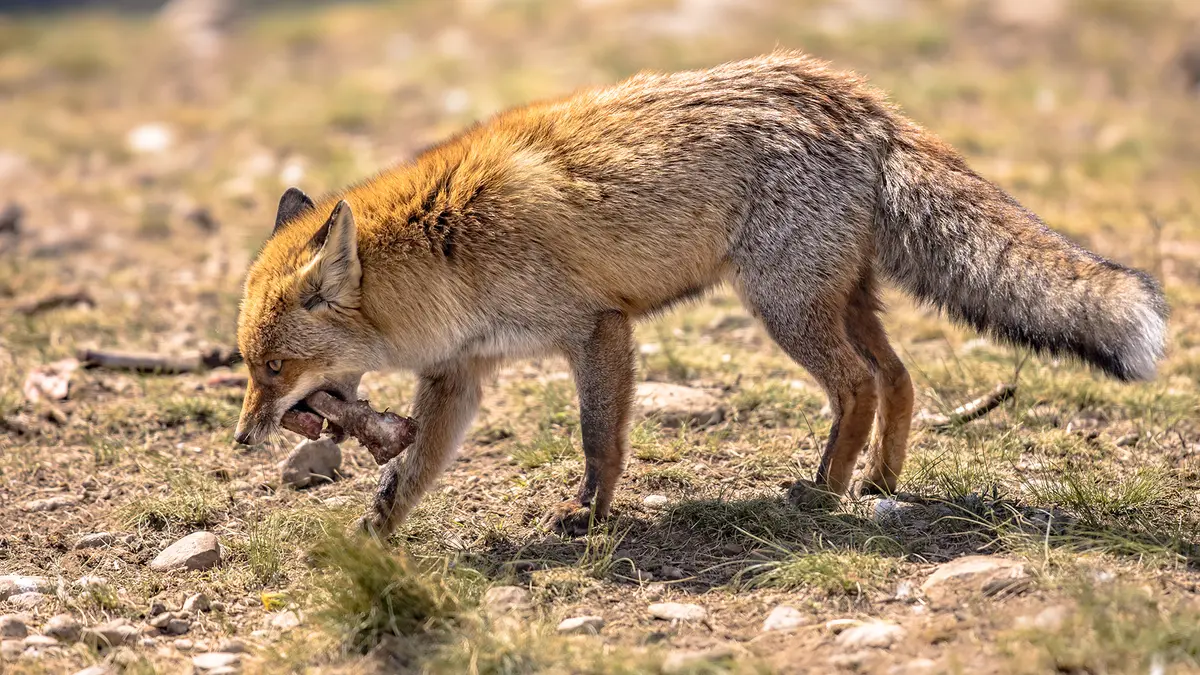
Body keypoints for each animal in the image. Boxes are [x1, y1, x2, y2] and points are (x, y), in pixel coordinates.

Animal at [234, 51, 1167, 538]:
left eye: (273, 367)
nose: (243, 437)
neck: (450, 248)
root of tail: (853, 95)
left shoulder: (597, 329)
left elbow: (599, 440)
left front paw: (589, 516)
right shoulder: (460, 375)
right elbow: (413, 470)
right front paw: (373, 535)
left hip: (784, 309)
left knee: (859, 385)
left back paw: (825, 488)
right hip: (837, 300)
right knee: (899, 379)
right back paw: (876, 479)